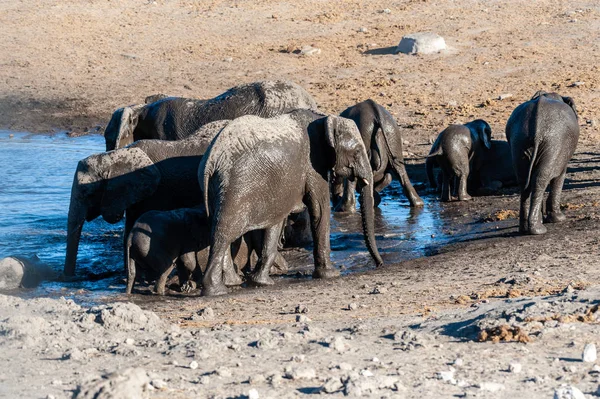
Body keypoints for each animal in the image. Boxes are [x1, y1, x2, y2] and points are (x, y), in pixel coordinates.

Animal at [198, 109, 384, 296]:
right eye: (357, 151)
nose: (379, 265)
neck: (324, 120)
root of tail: (211, 160)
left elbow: (276, 222)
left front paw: (261, 282)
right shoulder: (313, 164)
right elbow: (320, 209)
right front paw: (331, 274)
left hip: (218, 188)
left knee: (218, 231)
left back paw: (229, 283)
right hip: (235, 188)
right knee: (224, 233)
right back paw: (217, 290)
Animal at [508, 91, 580, 234]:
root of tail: (537, 129)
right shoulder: (562, 151)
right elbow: (559, 177)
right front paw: (558, 219)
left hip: (519, 141)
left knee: (524, 181)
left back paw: (525, 228)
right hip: (553, 143)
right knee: (540, 179)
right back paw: (538, 229)